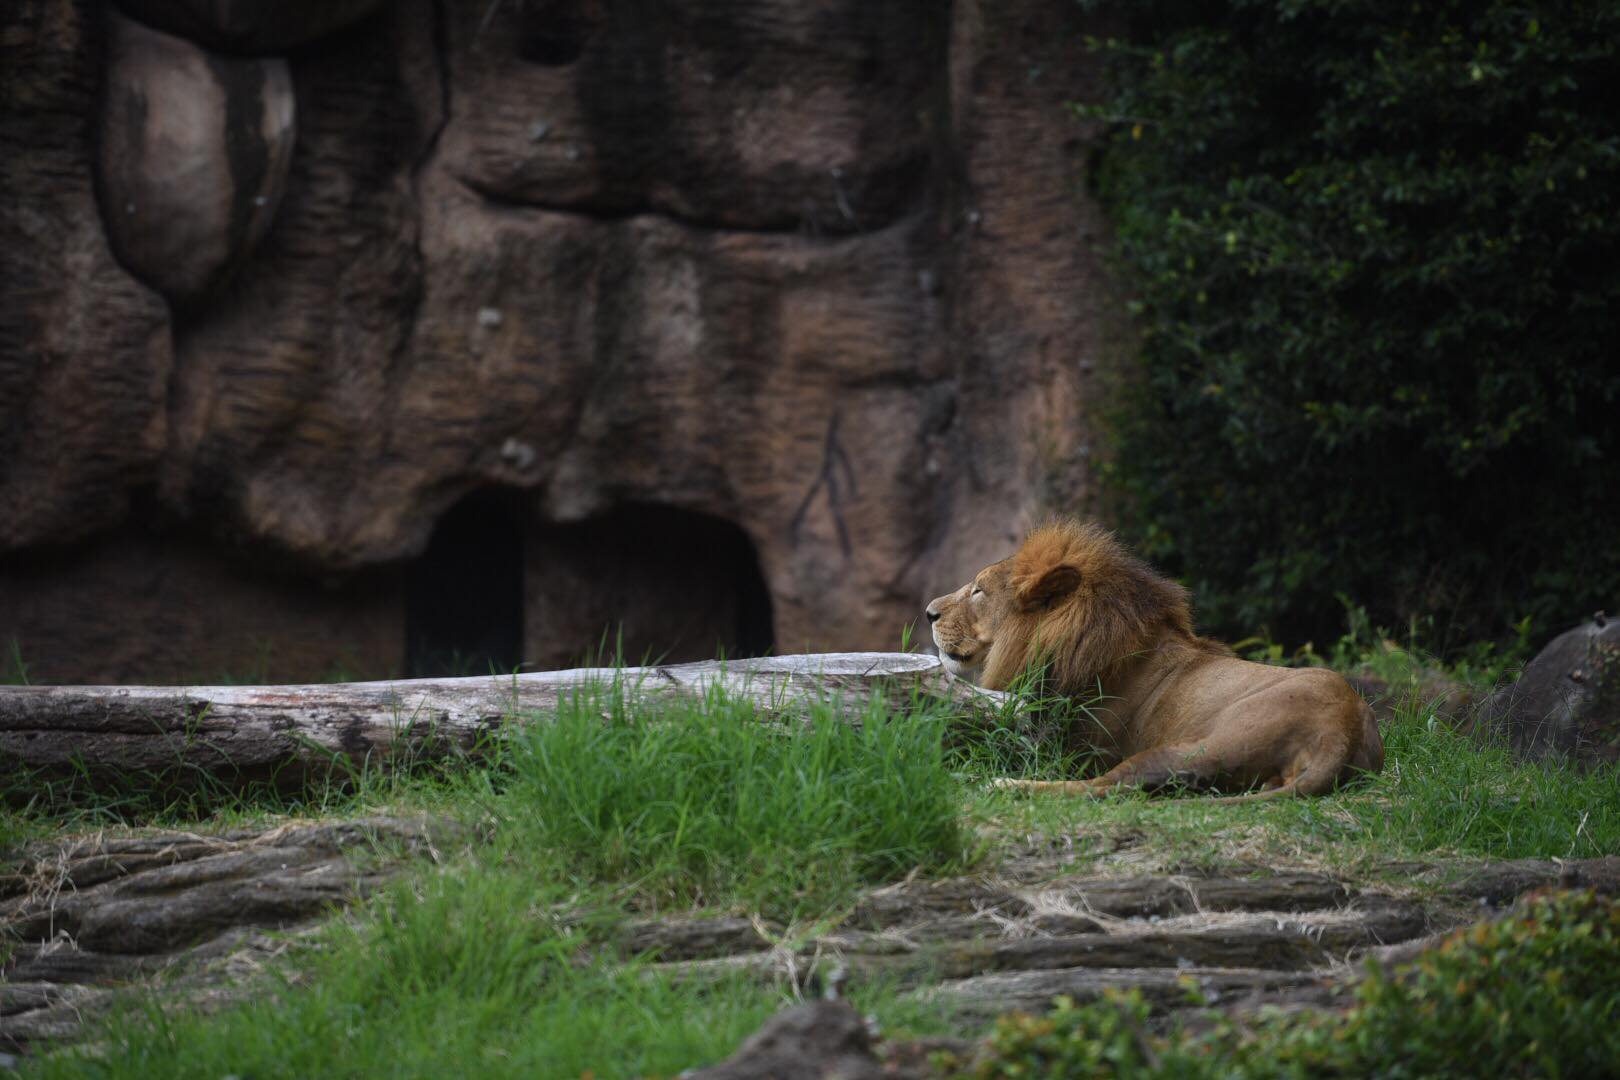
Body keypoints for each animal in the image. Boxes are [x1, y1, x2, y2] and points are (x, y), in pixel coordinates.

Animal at [933, 518, 1386, 799]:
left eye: (978, 590)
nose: (928, 612)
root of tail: (1342, 730)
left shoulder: (1071, 752)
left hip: (1188, 750)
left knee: (1103, 789)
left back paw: (997, 785)